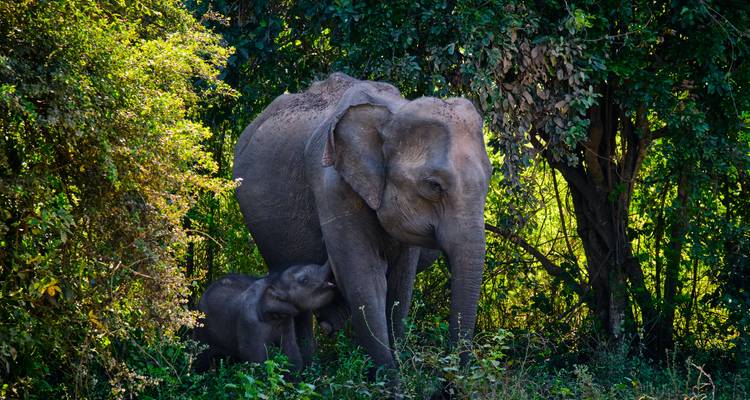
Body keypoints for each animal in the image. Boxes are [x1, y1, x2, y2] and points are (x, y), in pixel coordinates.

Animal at [193, 263, 336, 372]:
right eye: (304, 280)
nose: (333, 284)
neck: (272, 281)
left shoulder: (285, 319)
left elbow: (290, 348)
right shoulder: (249, 323)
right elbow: (256, 357)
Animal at [233, 72, 491, 371]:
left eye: (489, 180)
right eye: (433, 186)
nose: (452, 374)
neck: (392, 112)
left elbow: (400, 285)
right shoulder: (333, 187)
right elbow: (364, 279)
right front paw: (390, 377)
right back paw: (306, 369)